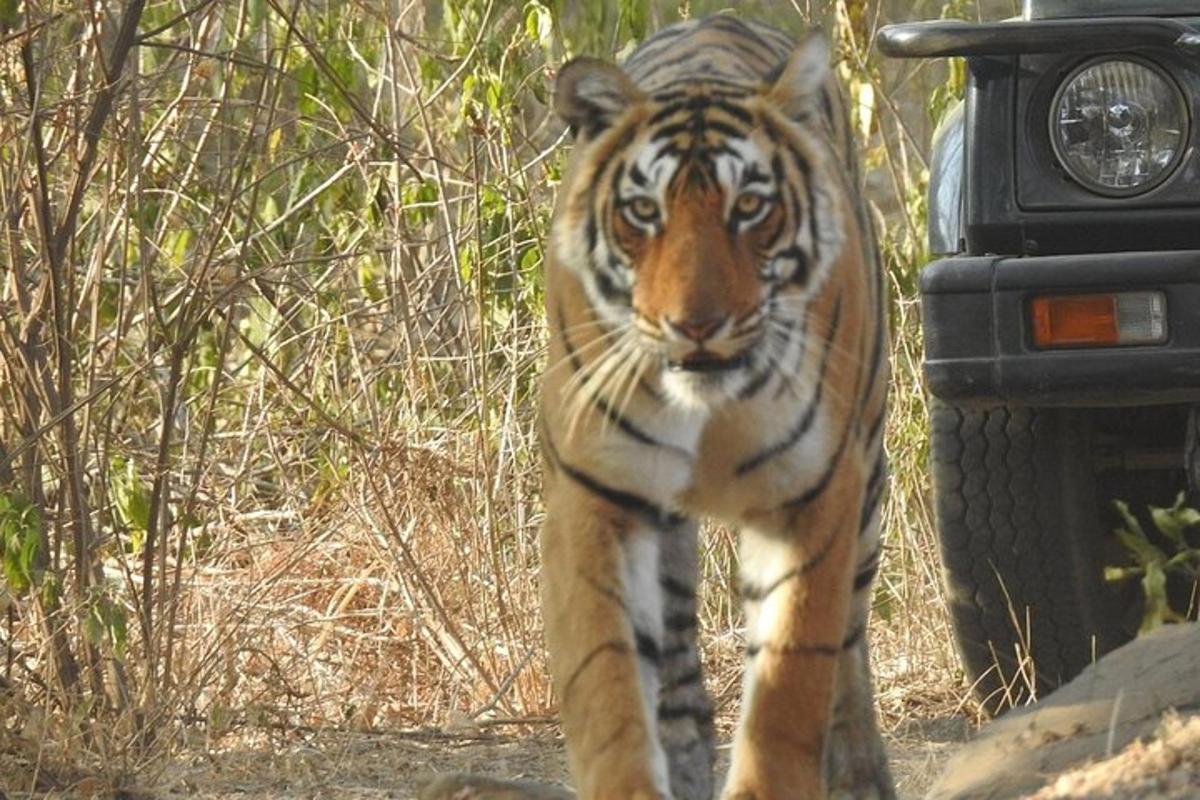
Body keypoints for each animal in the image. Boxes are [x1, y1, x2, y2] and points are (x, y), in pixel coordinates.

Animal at [422, 10, 892, 800]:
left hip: (867, 486)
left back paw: (859, 772)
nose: (695, 324)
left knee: (850, 647)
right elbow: (607, 682)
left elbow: (791, 677)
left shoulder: (814, 496)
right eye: (644, 213)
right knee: (675, 677)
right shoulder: (594, 499)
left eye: (750, 207)